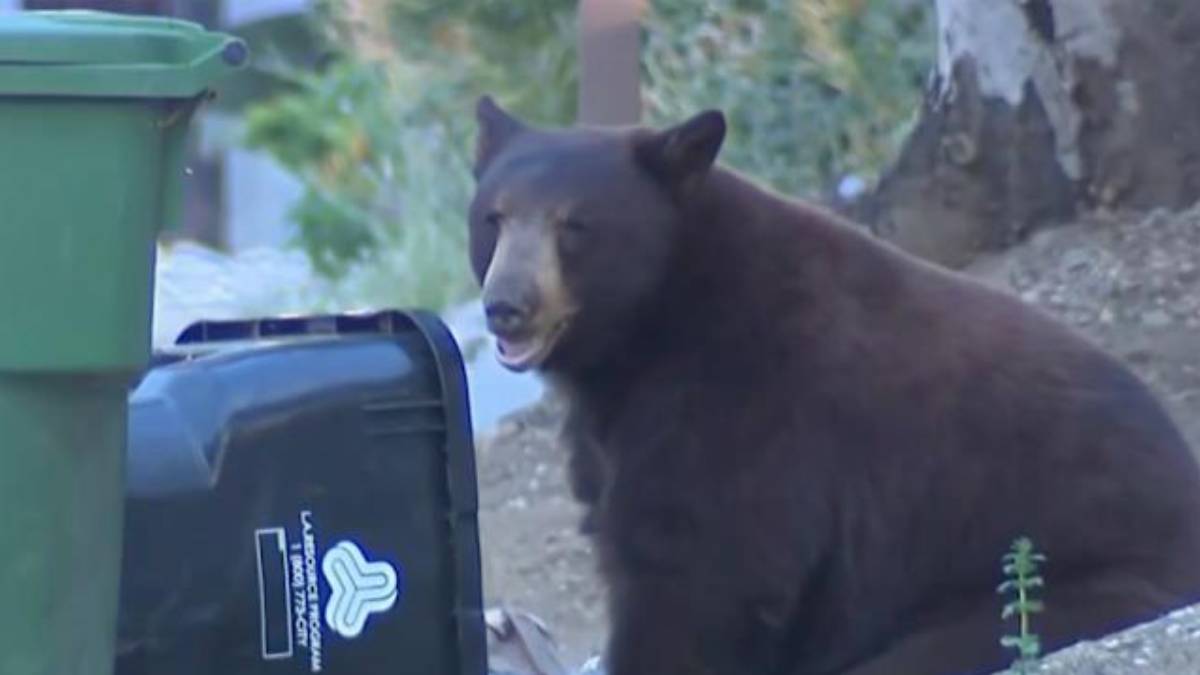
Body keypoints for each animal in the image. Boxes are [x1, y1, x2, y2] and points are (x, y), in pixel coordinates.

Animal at [465, 94, 1200, 675]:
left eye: (575, 225)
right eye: (492, 219)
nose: (506, 306)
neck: (655, 318)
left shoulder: (746, 406)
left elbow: (700, 574)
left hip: (1072, 582)